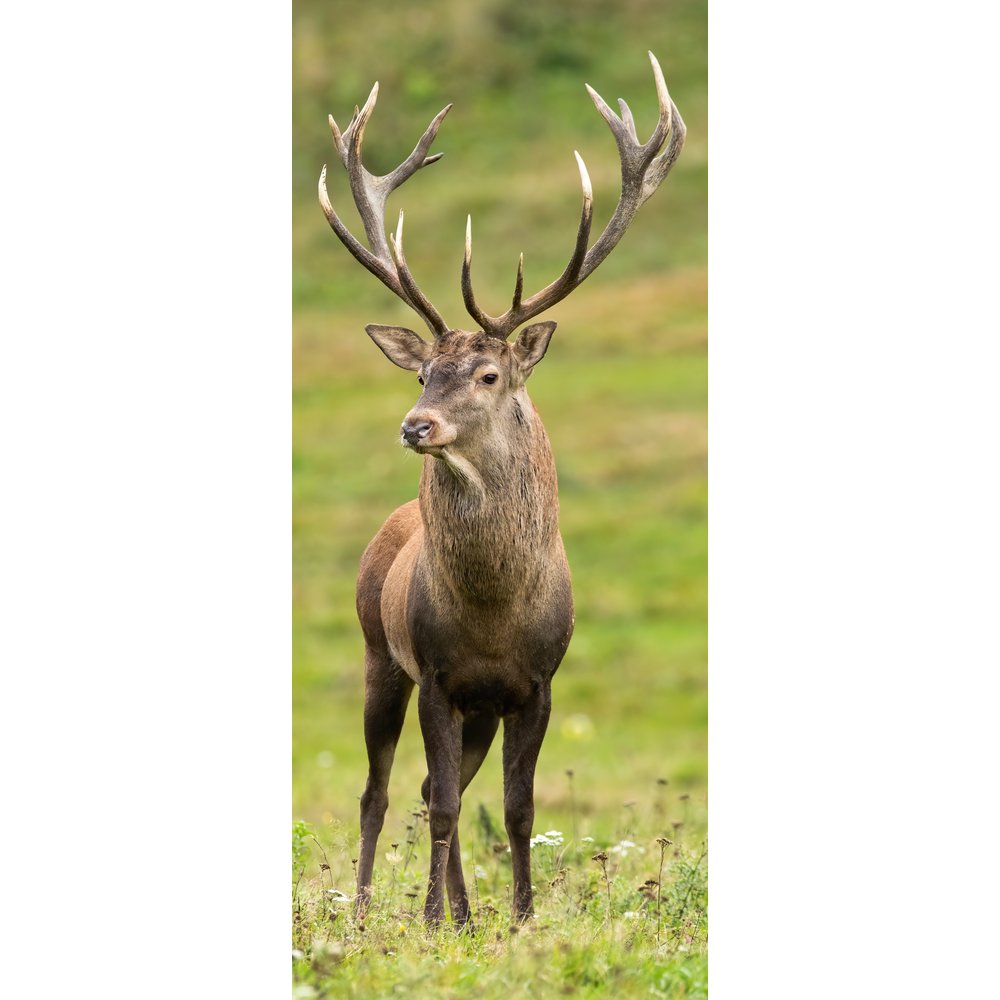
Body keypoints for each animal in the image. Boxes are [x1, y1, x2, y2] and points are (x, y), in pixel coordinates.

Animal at [318, 52, 685, 927]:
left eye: (488, 374)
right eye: (421, 371)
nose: (415, 425)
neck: (490, 613)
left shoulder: (537, 683)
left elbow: (516, 808)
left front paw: (516, 917)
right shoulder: (437, 677)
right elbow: (447, 804)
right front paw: (427, 922)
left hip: (475, 708)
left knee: (424, 785)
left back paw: (463, 910)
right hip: (379, 655)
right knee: (383, 792)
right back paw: (371, 909)